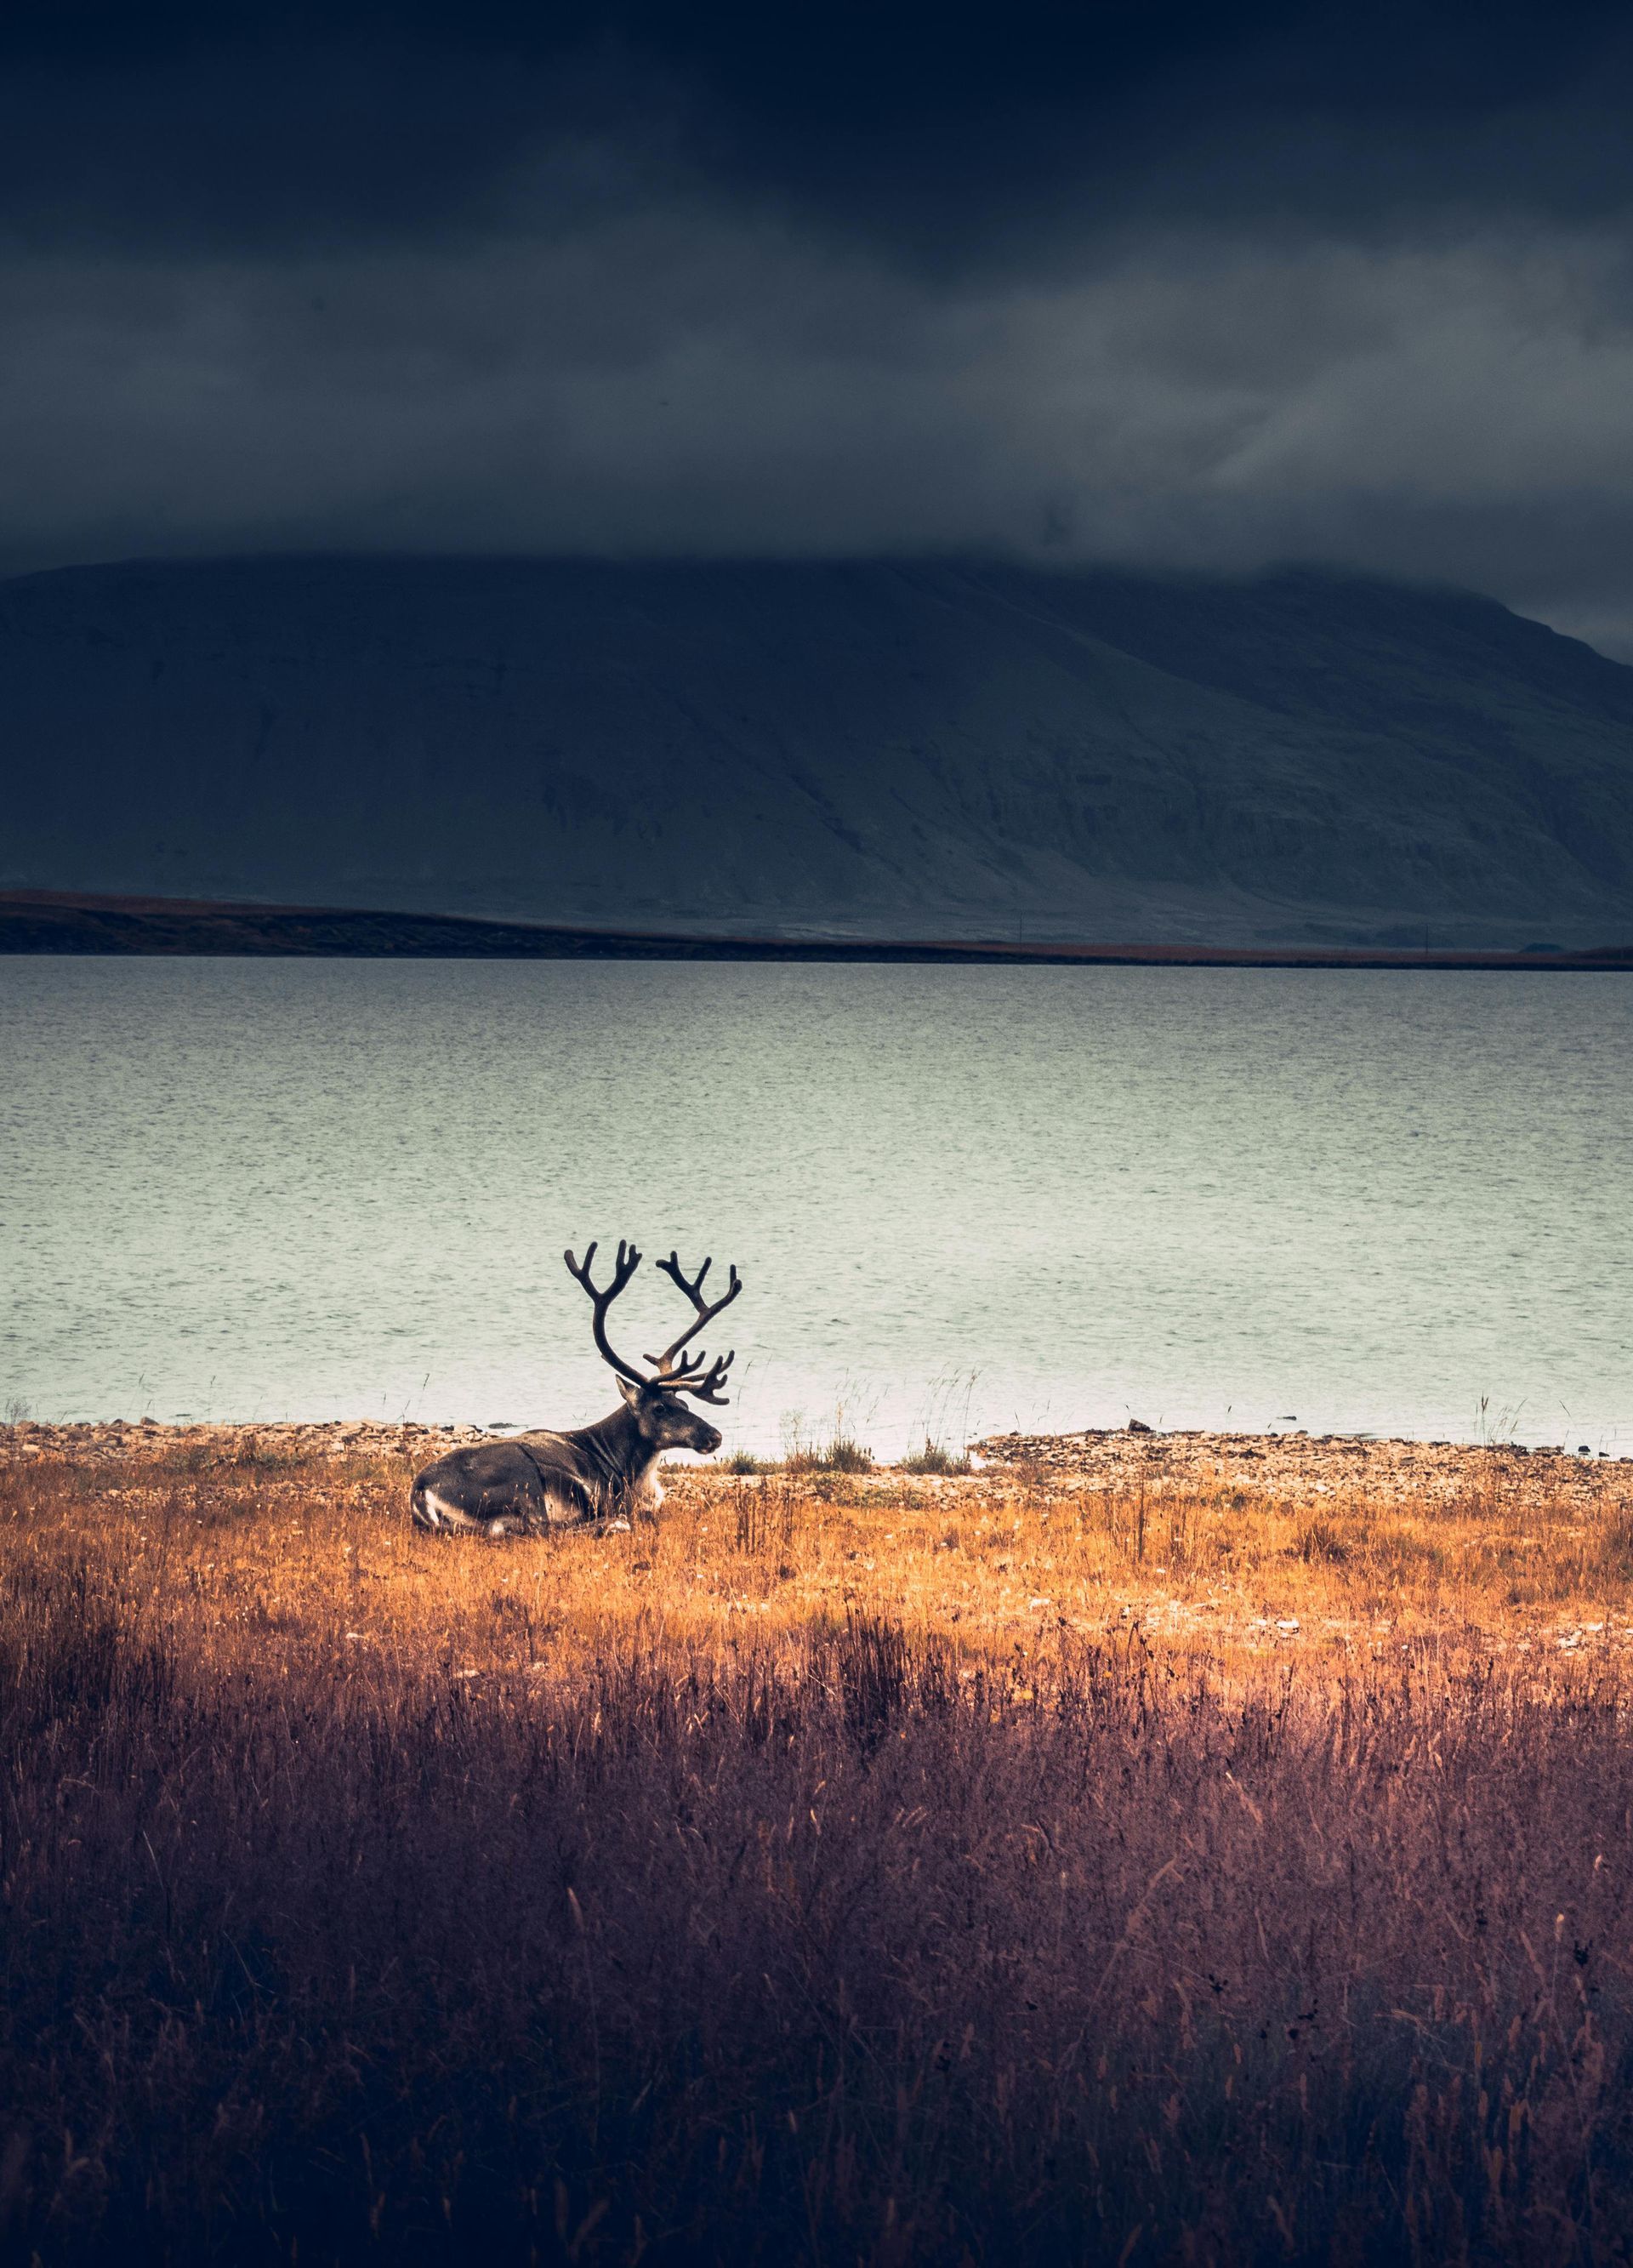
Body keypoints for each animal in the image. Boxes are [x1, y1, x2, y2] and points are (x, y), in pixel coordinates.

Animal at [409, 1240, 742, 1536]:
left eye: (685, 1404)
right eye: (660, 1408)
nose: (715, 1436)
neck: (627, 1468)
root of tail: (420, 1492)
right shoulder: (610, 1498)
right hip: (524, 1482)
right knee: (541, 1529)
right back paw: (610, 1526)